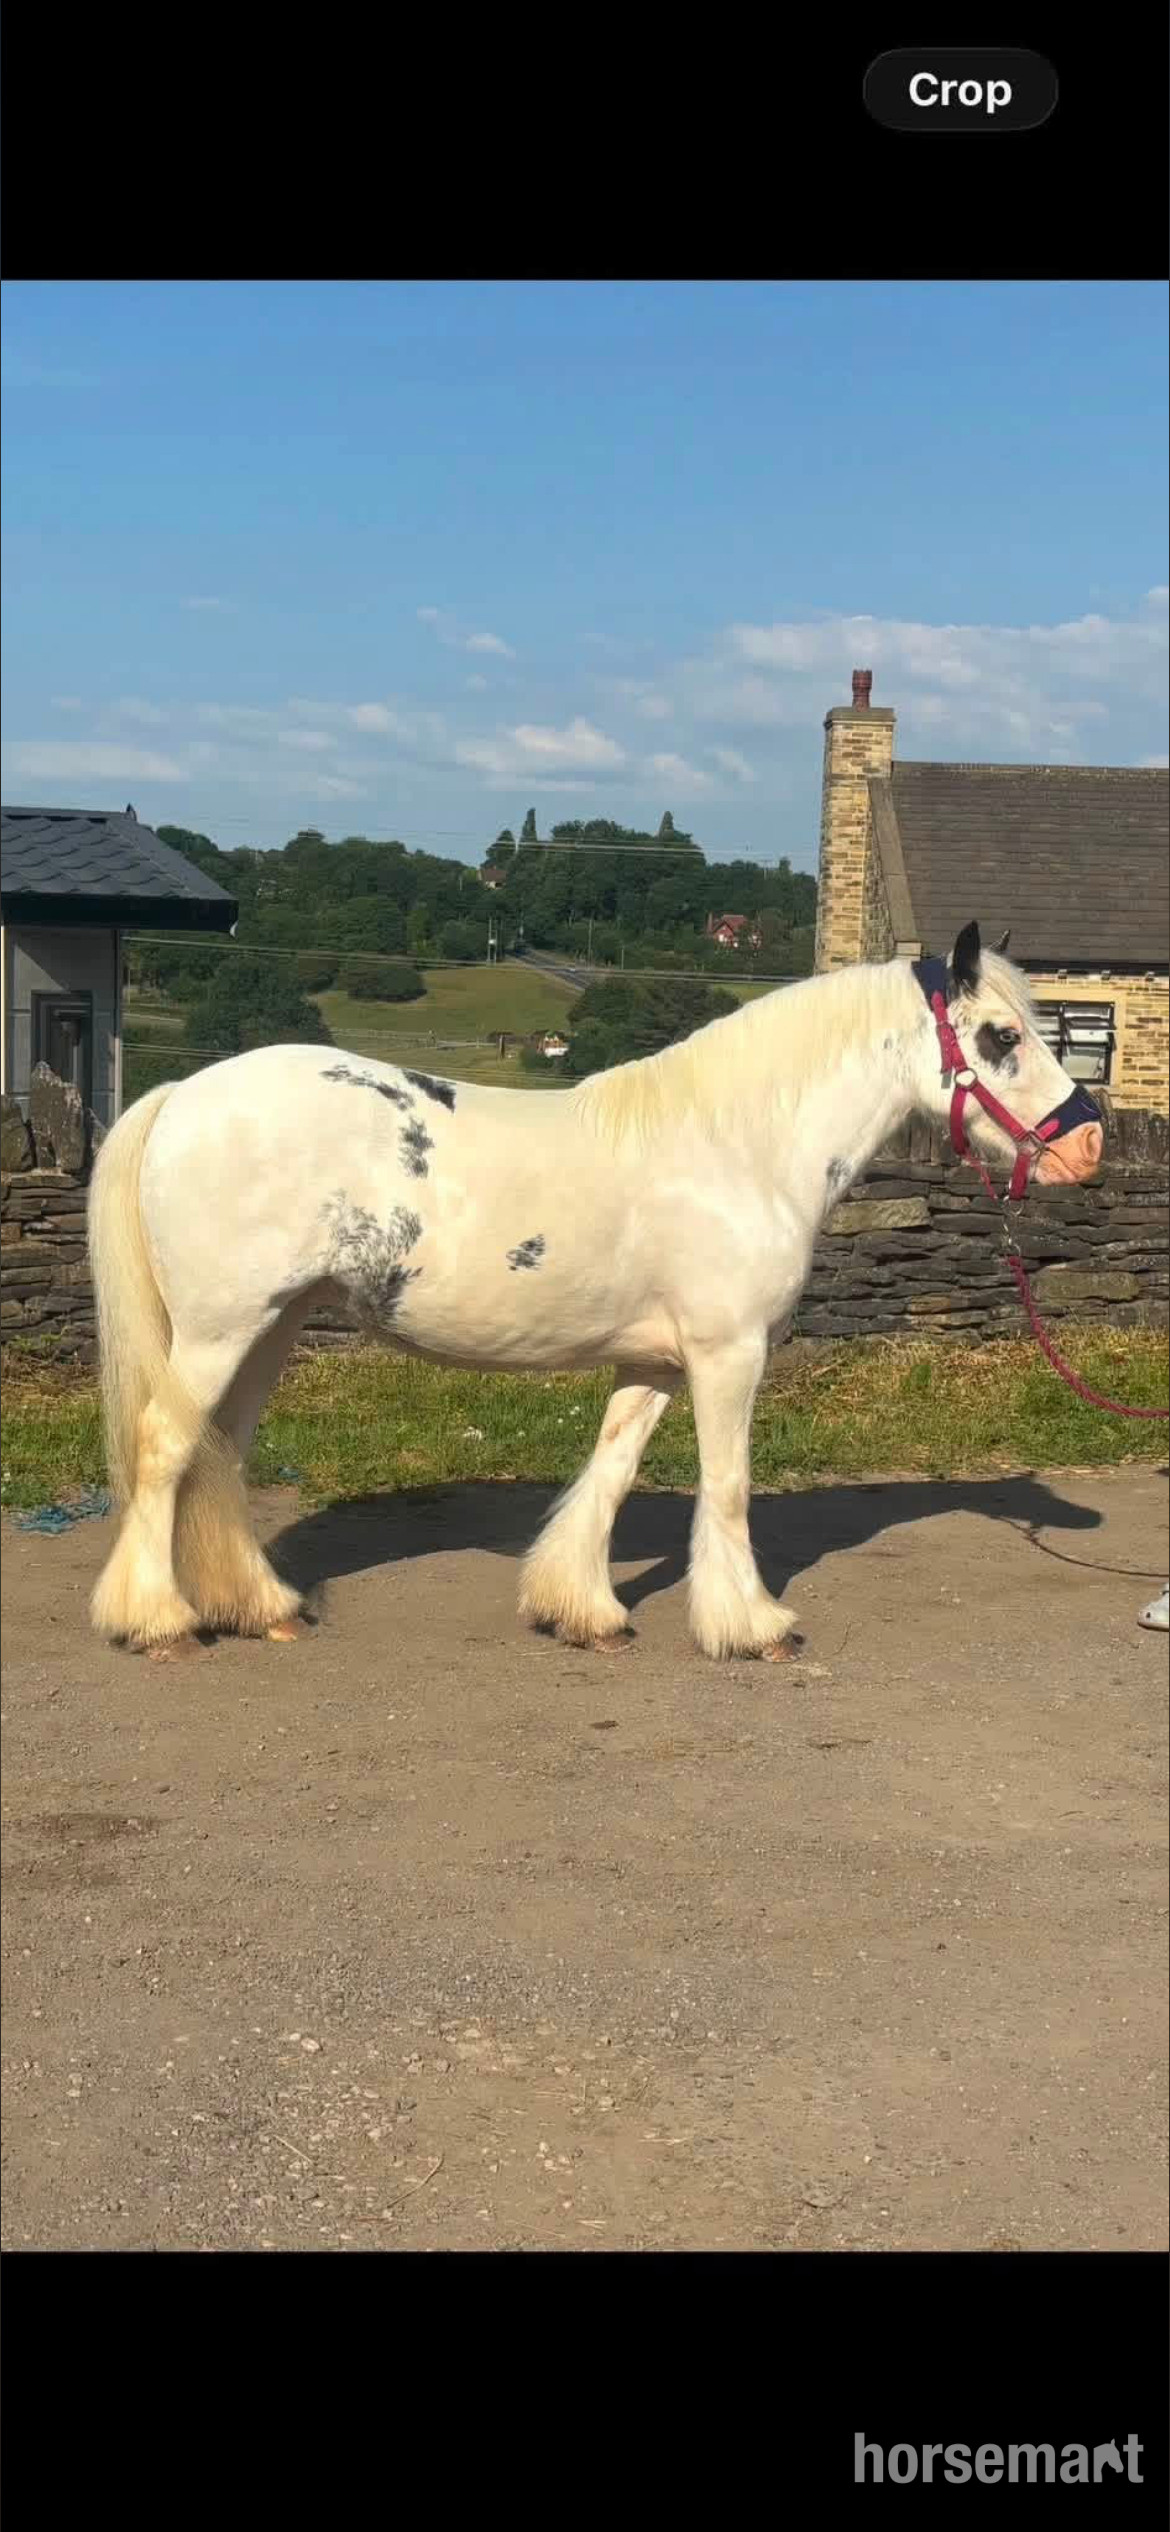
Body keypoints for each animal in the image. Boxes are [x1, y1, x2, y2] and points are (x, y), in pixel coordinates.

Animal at [87, 921, 1103, 1662]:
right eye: (1002, 1037)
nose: (1087, 1145)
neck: (739, 1146)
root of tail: (180, 1096)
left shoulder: (655, 1360)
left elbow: (610, 1472)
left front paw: (582, 1610)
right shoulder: (729, 1353)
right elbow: (728, 1485)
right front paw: (751, 1626)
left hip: (270, 1327)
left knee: (220, 1454)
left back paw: (261, 1606)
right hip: (219, 1330)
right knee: (165, 1446)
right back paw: (156, 1622)